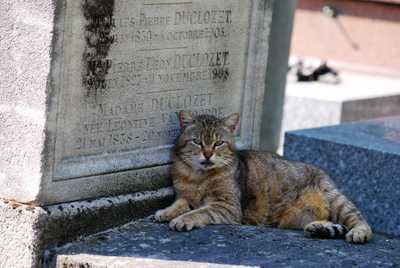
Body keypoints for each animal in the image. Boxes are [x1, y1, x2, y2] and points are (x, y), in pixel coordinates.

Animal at [155, 111, 374, 243]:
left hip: (337, 201)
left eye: (218, 143)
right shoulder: (184, 195)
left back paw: (358, 233)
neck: (197, 177)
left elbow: (199, 212)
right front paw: (166, 212)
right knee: (329, 222)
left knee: (360, 221)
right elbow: (180, 203)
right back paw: (318, 228)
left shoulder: (227, 206)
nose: (208, 154)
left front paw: (182, 220)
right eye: (198, 142)